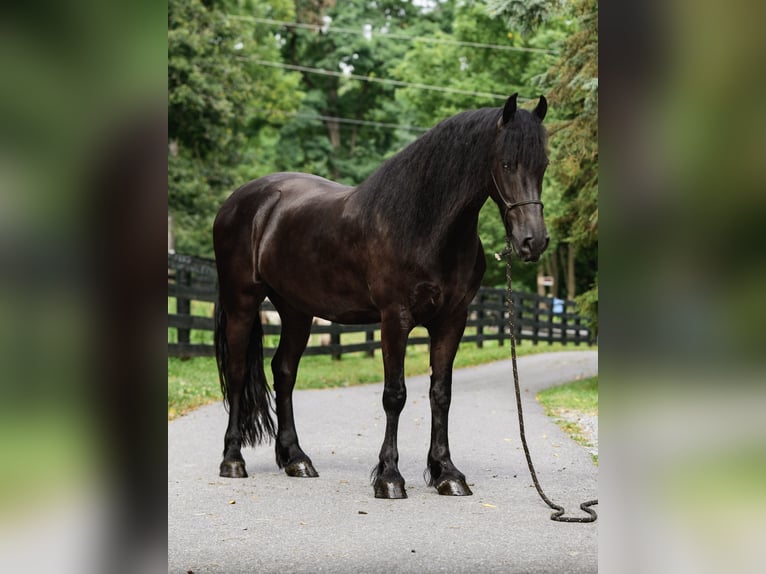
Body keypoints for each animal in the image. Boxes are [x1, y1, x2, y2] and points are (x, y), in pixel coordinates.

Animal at [213, 93, 549, 499]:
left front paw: (447, 474)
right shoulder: (395, 318)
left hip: (295, 311)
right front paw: (389, 477)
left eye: (543, 166)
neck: (425, 226)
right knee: (236, 371)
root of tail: (238, 202)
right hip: (242, 302)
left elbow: (441, 393)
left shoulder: (452, 320)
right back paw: (233, 460)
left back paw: (296, 459)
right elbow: (395, 394)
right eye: (506, 163)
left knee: (284, 371)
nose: (533, 242)